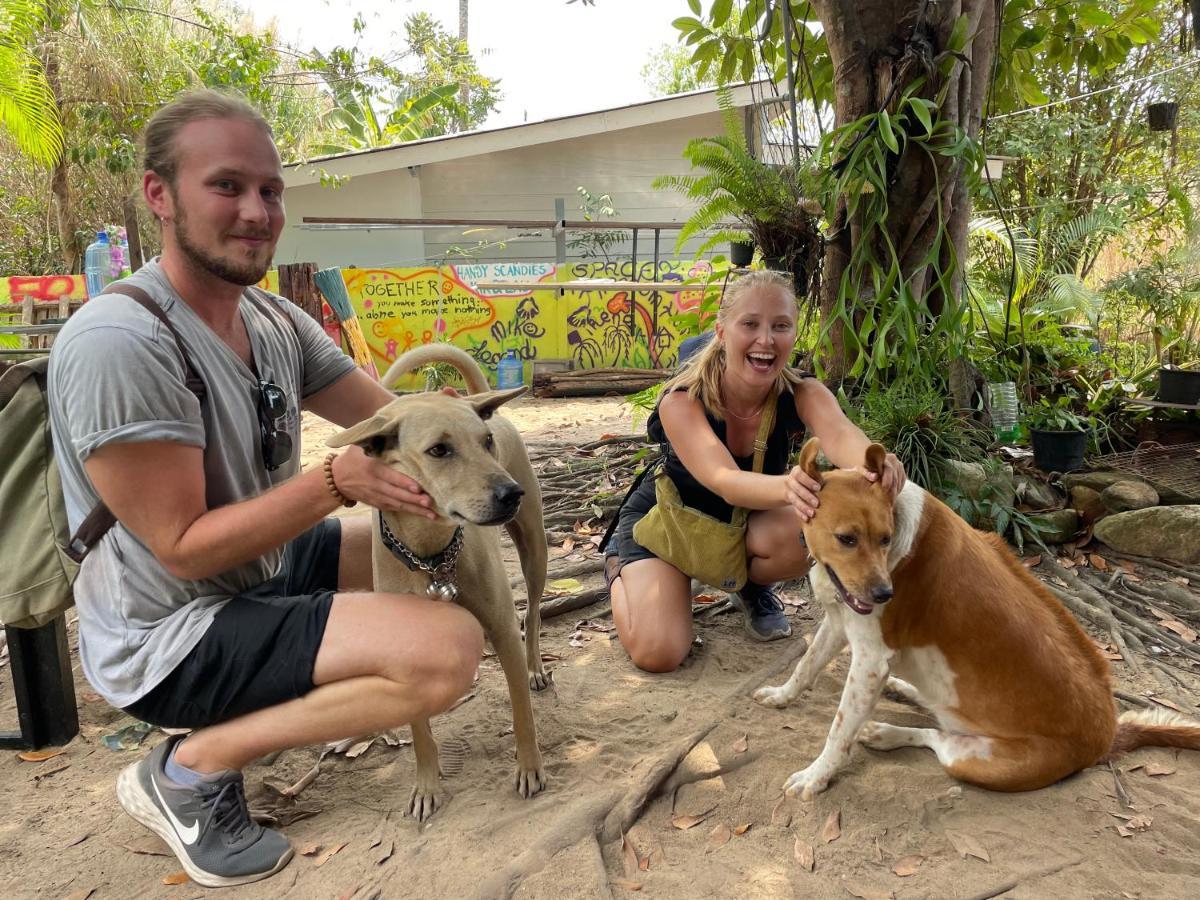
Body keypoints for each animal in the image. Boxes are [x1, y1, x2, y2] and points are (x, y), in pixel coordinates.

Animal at [331, 348, 549, 825]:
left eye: (486, 442)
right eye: (438, 450)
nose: (511, 493)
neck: (430, 555)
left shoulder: (502, 631)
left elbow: (522, 714)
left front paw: (530, 767)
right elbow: (420, 735)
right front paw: (427, 786)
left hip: (535, 550)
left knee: (533, 611)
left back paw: (535, 668)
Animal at [753, 441, 1200, 801]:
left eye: (885, 538)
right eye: (847, 539)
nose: (883, 595)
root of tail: (1107, 735)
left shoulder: (871, 659)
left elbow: (839, 730)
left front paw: (816, 777)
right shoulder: (840, 623)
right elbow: (805, 666)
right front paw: (782, 695)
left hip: (975, 760)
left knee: (937, 738)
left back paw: (886, 731)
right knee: (935, 717)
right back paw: (900, 692)